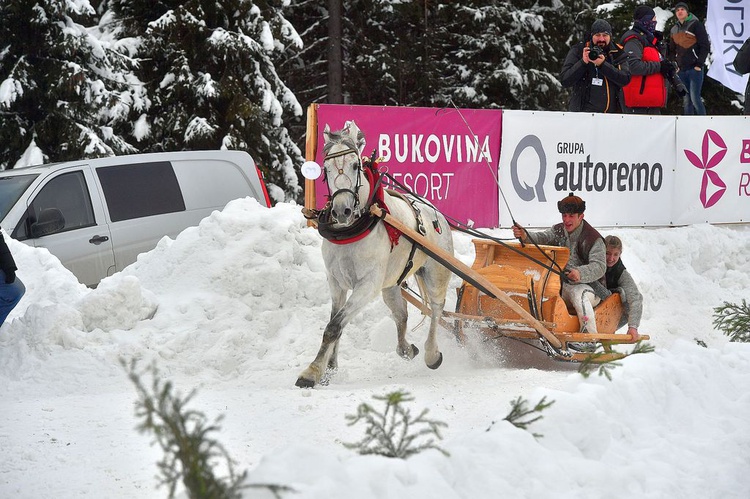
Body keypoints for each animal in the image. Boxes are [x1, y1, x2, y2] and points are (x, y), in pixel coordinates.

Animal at [296, 121, 456, 390]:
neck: (352, 230)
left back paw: (431, 354)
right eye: (325, 169)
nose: (341, 210)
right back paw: (406, 349)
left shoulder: (367, 285)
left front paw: (312, 372)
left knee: (436, 308)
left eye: (355, 165)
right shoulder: (336, 282)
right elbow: (337, 322)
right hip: (390, 285)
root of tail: (437, 214)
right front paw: (329, 369)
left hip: (436, 273)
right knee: (401, 314)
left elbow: (334, 326)